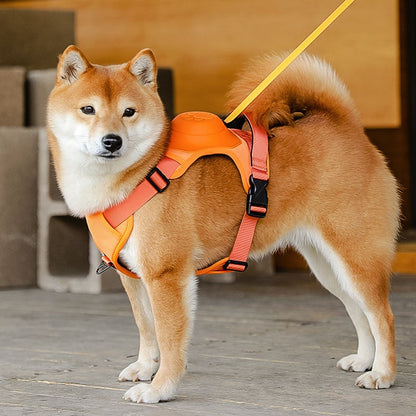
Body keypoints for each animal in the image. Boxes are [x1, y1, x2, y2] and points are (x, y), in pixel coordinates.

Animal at [46, 44, 400, 404]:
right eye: (88, 109)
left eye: (129, 112)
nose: (112, 141)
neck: (141, 174)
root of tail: (345, 126)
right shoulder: (133, 276)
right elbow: (146, 328)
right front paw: (145, 368)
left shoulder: (167, 276)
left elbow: (169, 340)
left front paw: (160, 388)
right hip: (329, 267)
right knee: (359, 312)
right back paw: (364, 360)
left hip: (356, 258)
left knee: (382, 316)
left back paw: (382, 373)